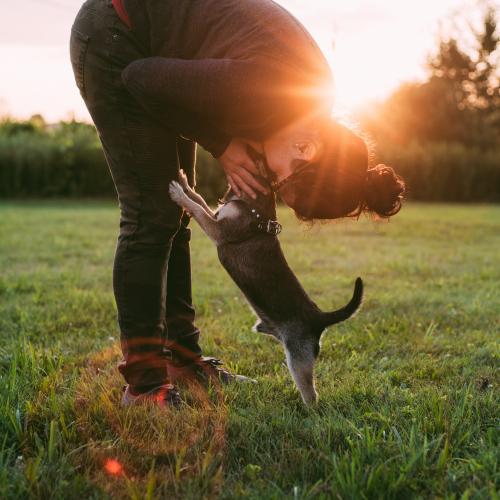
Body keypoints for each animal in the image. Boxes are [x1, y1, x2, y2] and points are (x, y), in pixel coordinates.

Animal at [169, 162, 364, 404]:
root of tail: (318, 317)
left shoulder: (218, 230)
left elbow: (196, 208)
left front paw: (178, 193)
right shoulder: (216, 216)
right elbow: (198, 198)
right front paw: (184, 182)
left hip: (298, 359)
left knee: (311, 393)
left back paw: (308, 409)